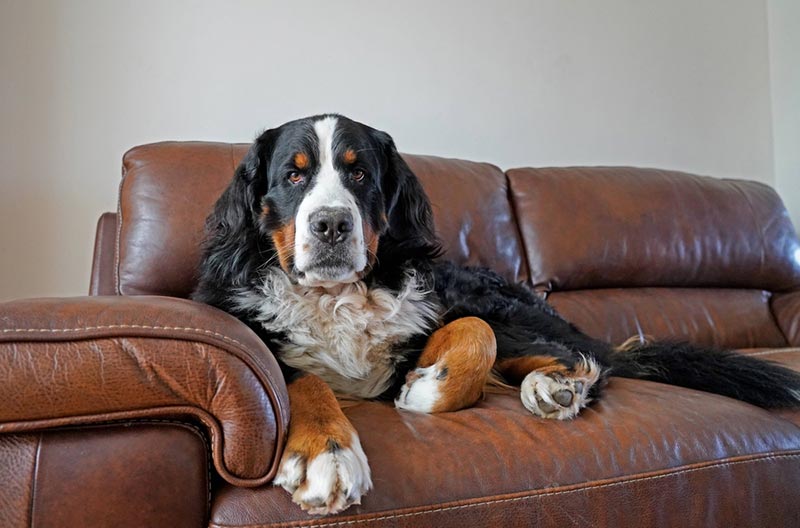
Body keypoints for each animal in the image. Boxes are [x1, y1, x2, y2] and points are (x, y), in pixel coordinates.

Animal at [192, 113, 800, 512]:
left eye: (359, 174)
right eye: (294, 176)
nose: (332, 225)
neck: (336, 295)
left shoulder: (432, 319)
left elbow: (471, 336)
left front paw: (427, 390)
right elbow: (304, 381)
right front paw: (328, 452)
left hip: (492, 299)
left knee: (575, 355)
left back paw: (558, 384)